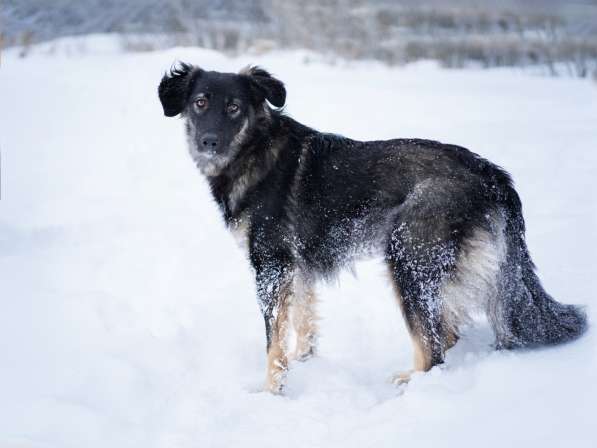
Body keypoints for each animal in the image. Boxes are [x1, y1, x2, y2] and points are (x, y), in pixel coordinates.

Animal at [157, 62, 588, 392]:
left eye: (234, 108)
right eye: (200, 103)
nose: (209, 141)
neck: (255, 150)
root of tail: (492, 175)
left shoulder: (270, 266)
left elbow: (273, 342)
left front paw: (271, 392)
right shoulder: (296, 268)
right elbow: (302, 324)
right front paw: (304, 364)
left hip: (408, 257)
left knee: (433, 349)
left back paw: (409, 386)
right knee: (446, 333)